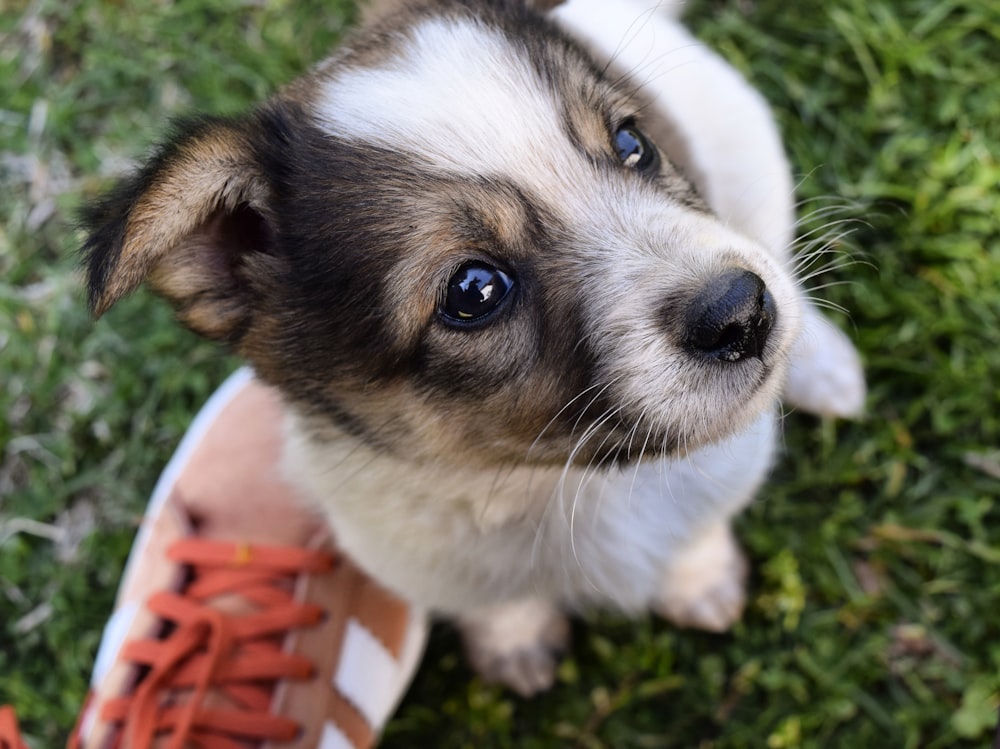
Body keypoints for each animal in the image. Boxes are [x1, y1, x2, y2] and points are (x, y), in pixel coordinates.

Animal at [84, 0, 868, 696]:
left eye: (631, 144)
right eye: (474, 289)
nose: (741, 312)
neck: (555, 485)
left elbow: (694, 534)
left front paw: (700, 582)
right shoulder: (406, 550)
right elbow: (495, 600)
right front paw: (515, 643)